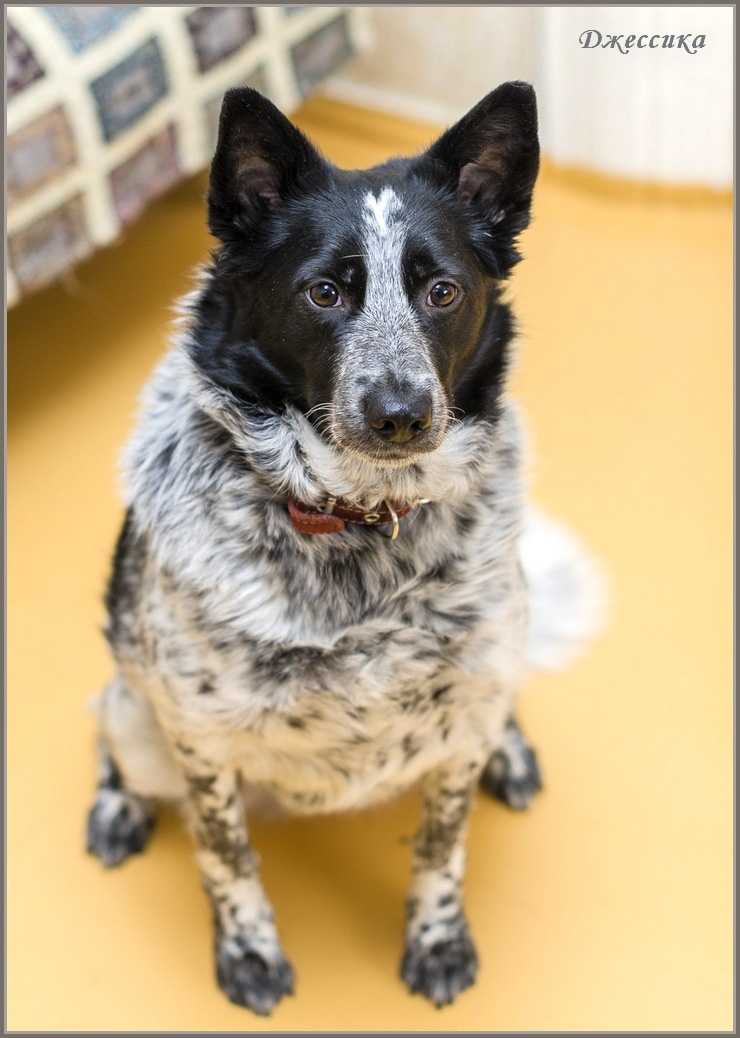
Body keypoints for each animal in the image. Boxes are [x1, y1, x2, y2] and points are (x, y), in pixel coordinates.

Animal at [85, 80, 601, 1013]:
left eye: (442, 292)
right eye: (324, 293)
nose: (400, 413)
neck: (359, 520)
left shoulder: (457, 728)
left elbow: (441, 846)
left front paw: (437, 939)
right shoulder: (201, 741)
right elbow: (226, 857)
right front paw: (248, 951)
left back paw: (510, 749)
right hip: (142, 722)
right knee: (110, 725)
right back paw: (120, 806)